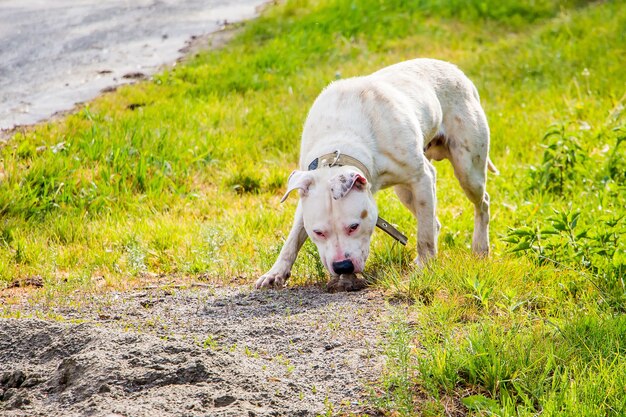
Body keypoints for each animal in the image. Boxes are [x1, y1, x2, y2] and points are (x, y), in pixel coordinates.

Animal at [256, 57, 494, 290]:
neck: (340, 142)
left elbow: (424, 237)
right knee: (433, 220)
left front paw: (425, 269)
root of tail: (455, 70)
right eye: (318, 232)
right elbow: (293, 238)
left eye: (354, 226)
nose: (342, 266)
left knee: (481, 203)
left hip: (467, 170)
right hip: (405, 191)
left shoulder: (422, 178)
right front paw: (276, 272)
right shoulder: (306, 187)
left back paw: (479, 248)